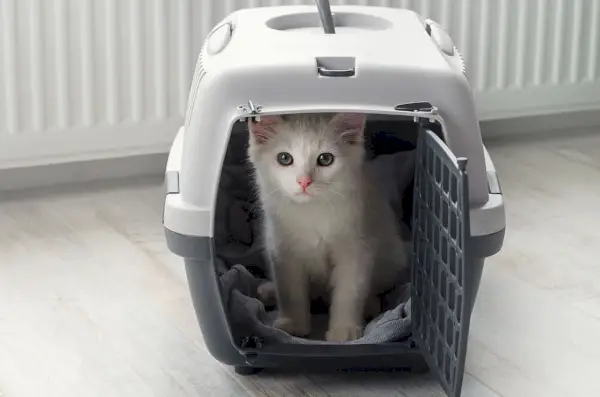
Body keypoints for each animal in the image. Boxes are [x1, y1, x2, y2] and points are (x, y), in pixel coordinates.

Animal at [245, 112, 408, 340]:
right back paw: (269, 290)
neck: (312, 211)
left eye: (325, 159)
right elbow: (291, 292)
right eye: (284, 158)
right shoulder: (282, 251)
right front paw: (293, 324)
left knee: (378, 286)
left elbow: (349, 292)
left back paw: (370, 305)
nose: (304, 182)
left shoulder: (356, 250)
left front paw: (344, 330)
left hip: (391, 257)